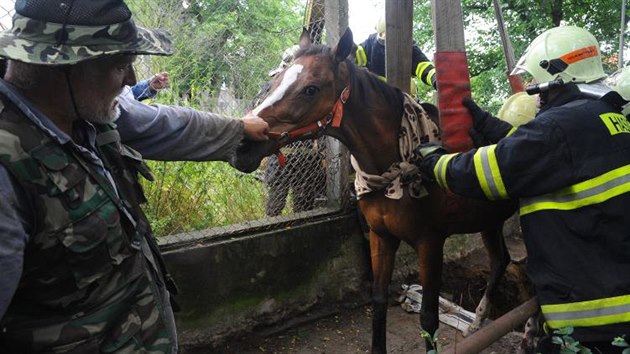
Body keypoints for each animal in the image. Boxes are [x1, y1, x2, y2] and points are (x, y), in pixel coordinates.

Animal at [235, 29, 520, 352]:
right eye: (273, 83)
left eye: (311, 89)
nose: (243, 144)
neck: (392, 170)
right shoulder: (381, 236)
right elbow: (379, 302)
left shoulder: (431, 243)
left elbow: (428, 317)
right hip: (489, 221)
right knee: (500, 260)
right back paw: (476, 321)